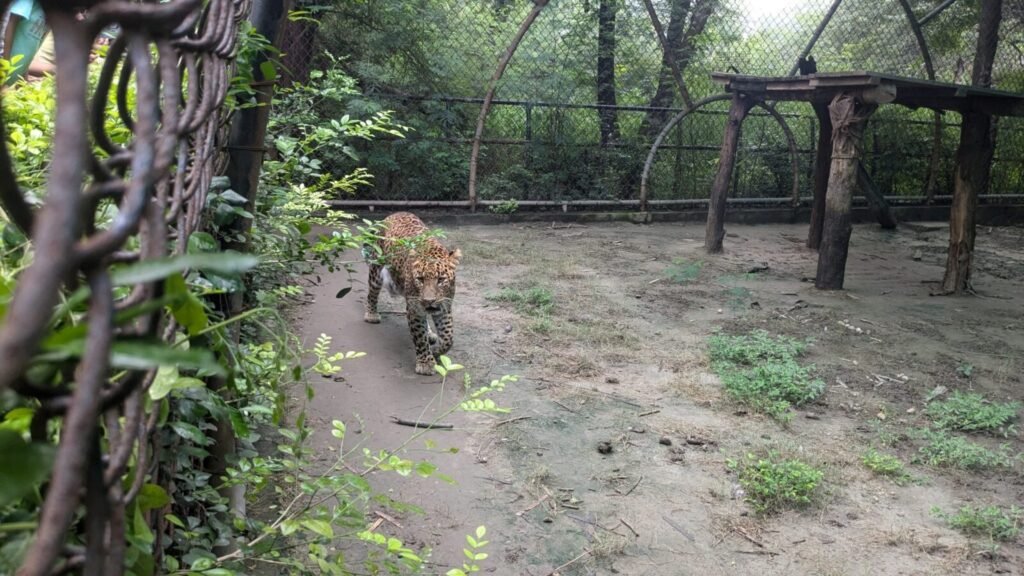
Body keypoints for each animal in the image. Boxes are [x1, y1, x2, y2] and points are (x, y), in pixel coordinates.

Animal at [362, 212, 461, 375]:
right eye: (420, 279)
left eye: (441, 279)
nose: (429, 300)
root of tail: (395, 213)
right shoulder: (414, 307)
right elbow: (420, 338)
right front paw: (426, 363)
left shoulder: (444, 306)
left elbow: (448, 337)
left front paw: (436, 350)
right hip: (377, 269)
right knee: (372, 293)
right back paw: (371, 315)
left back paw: (430, 333)